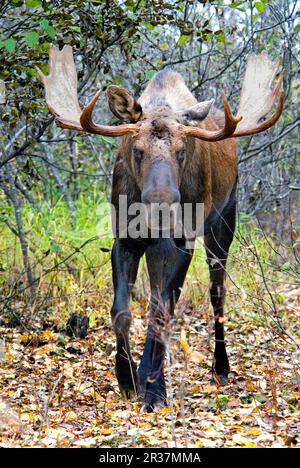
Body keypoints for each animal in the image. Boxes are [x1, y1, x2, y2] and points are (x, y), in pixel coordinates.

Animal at [37, 45, 284, 412]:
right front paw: (127, 380)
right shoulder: (124, 240)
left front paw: (154, 389)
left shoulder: (182, 242)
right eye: (137, 151)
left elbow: (161, 312)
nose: (162, 204)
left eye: (182, 151)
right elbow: (122, 312)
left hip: (223, 223)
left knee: (214, 293)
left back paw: (220, 367)